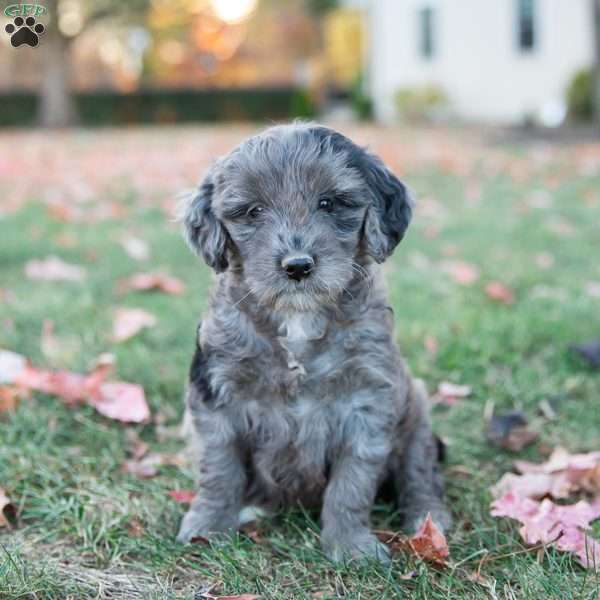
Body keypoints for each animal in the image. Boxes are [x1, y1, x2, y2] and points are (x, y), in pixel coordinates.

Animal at [177, 122, 450, 564]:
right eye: (253, 211)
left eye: (329, 203)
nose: (298, 266)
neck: (298, 321)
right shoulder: (216, 397)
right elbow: (219, 470)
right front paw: (208, 526)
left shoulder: (366, 403)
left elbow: (351, 484)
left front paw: (350, 546)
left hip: (417, 415)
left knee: (419, 472)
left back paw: (429, 520)